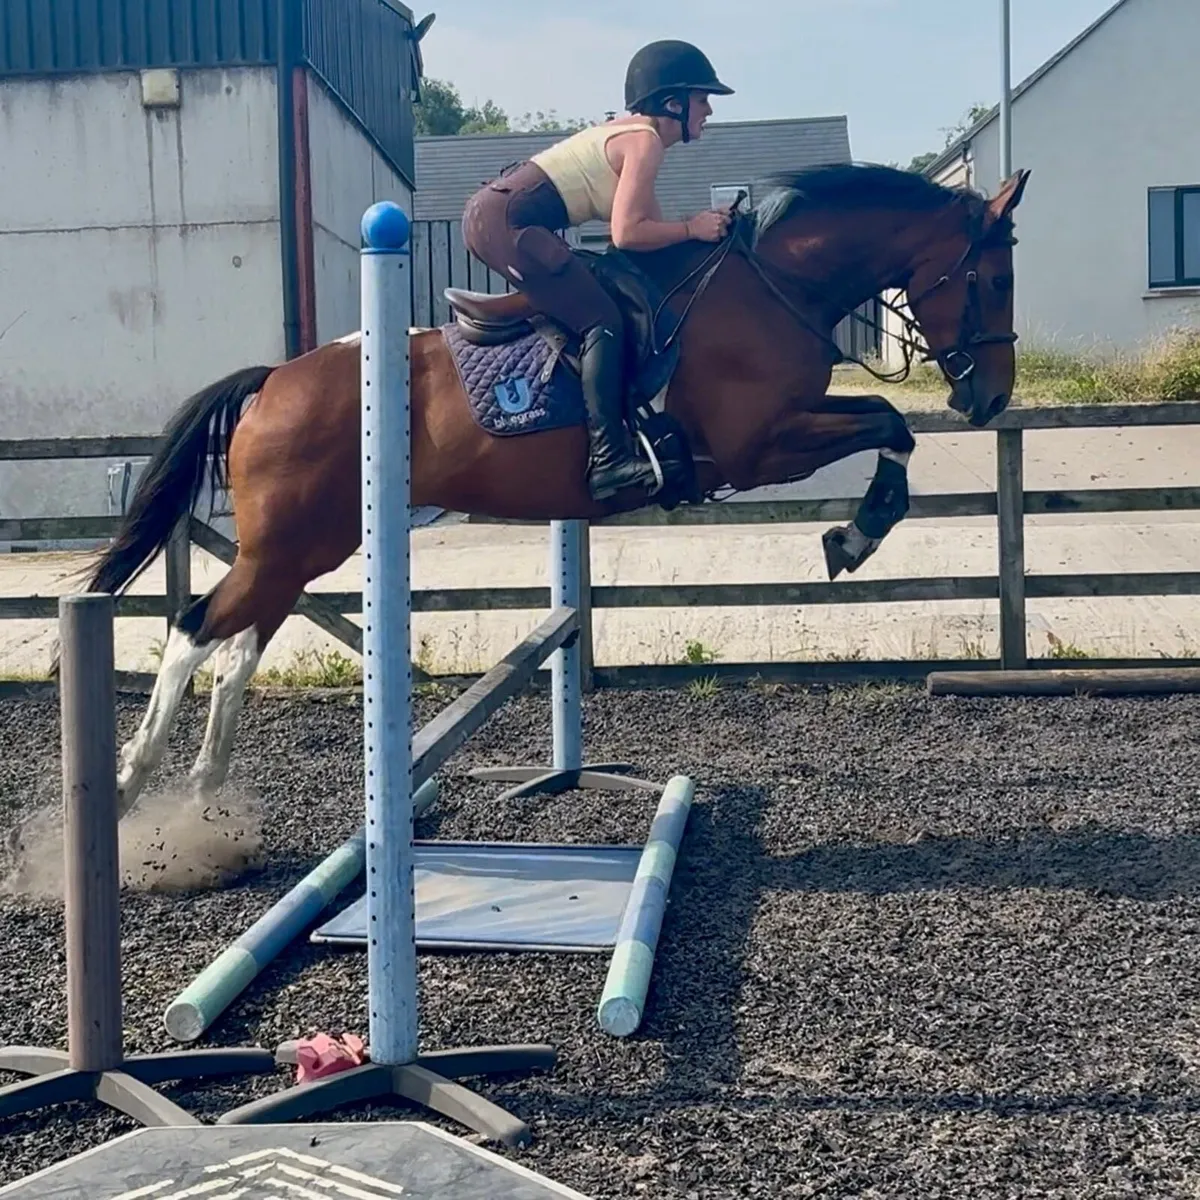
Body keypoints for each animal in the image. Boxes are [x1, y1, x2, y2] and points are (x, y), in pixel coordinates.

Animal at [81, 161, 1030, 816]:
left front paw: (855, 531)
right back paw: (131, 788)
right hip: (289, 547)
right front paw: (857, 533)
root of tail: (273, 380)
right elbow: (889, 422)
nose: (990, 398)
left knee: (235, 648)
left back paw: (205, 794)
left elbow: (889, 423)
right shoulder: (756, 447)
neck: (773, 285)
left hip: (301, 550)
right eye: (993, 278)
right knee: (194, 629)